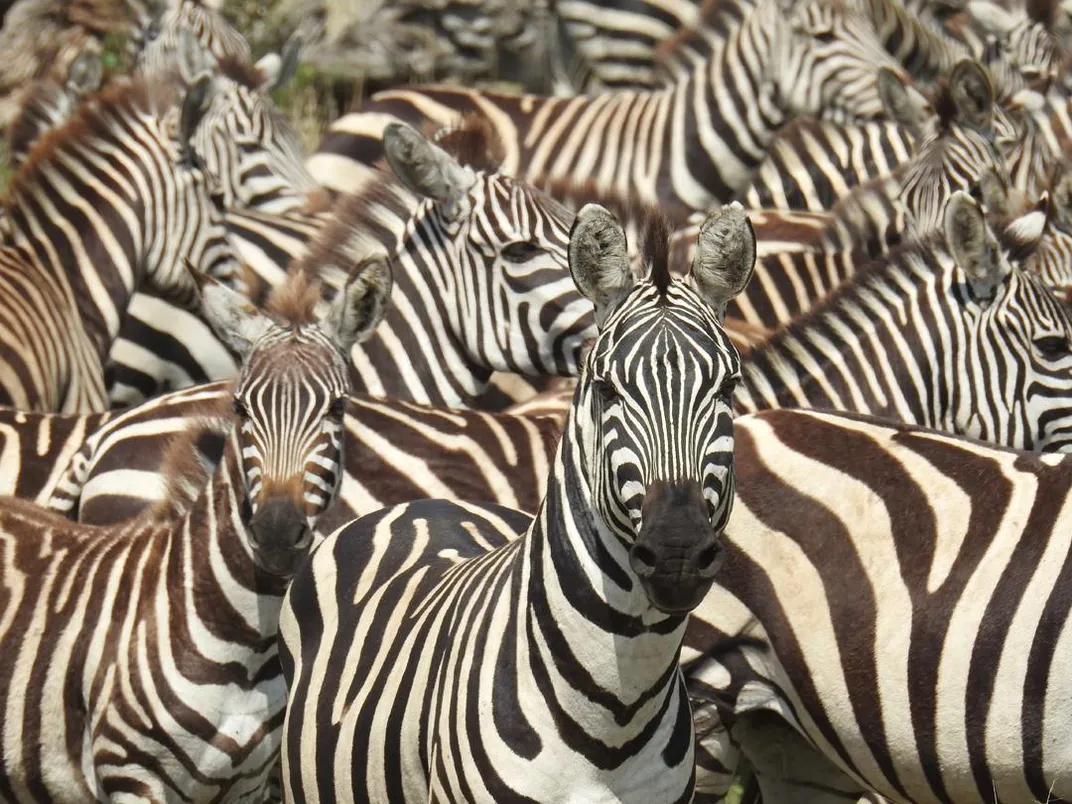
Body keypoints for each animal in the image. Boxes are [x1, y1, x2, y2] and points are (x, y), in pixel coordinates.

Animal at [0, 253, 391, 802]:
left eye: (337, 408)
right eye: (240, 407)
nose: (275, 533)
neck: (246, 650)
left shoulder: (247, 788)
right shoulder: (130, 778)